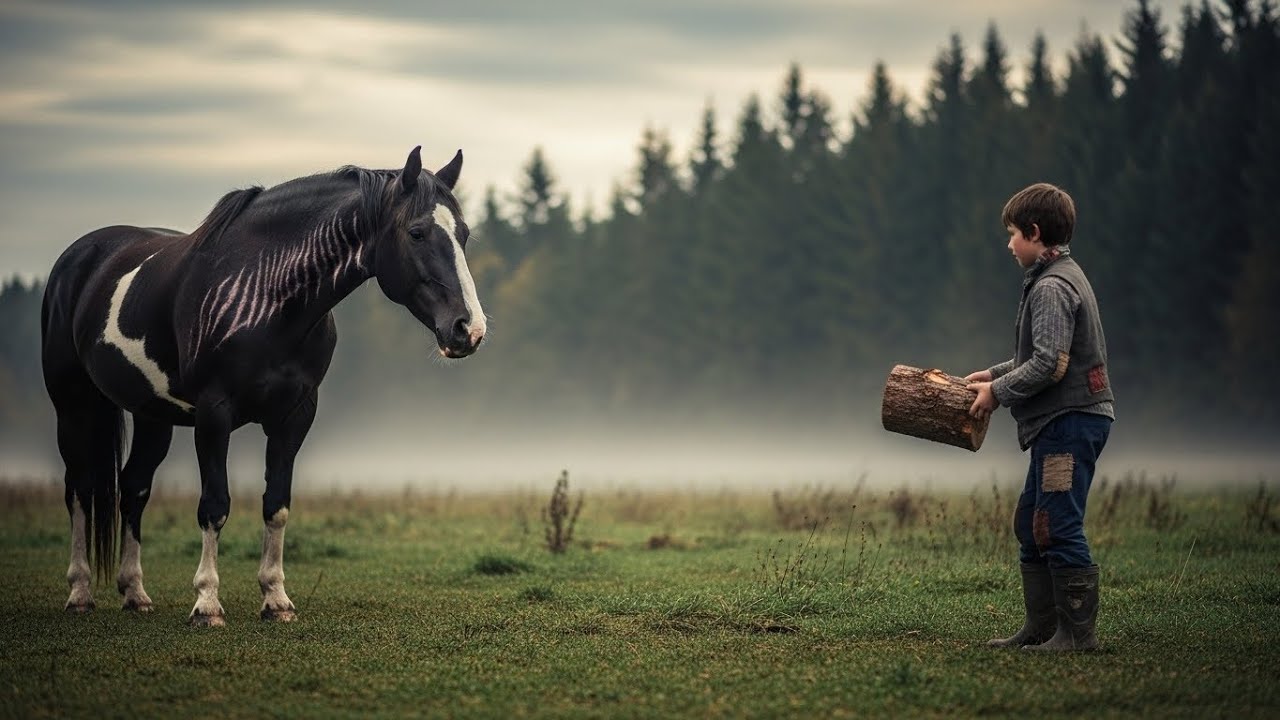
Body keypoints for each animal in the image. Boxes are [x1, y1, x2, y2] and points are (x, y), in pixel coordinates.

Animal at [41, 147, 486, 626]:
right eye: (417, 232)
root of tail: (80, 257)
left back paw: (135, 592)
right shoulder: (214, 414)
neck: (265, 294)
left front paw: (276, 599)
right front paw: (207, 603)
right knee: (80, 489)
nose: (468, 329)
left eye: (464, 234)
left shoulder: (295, 416)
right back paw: (80, 591)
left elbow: (277, 504)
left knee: (134, 488)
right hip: (72, 405)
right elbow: (214, 505)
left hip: (152, 415)